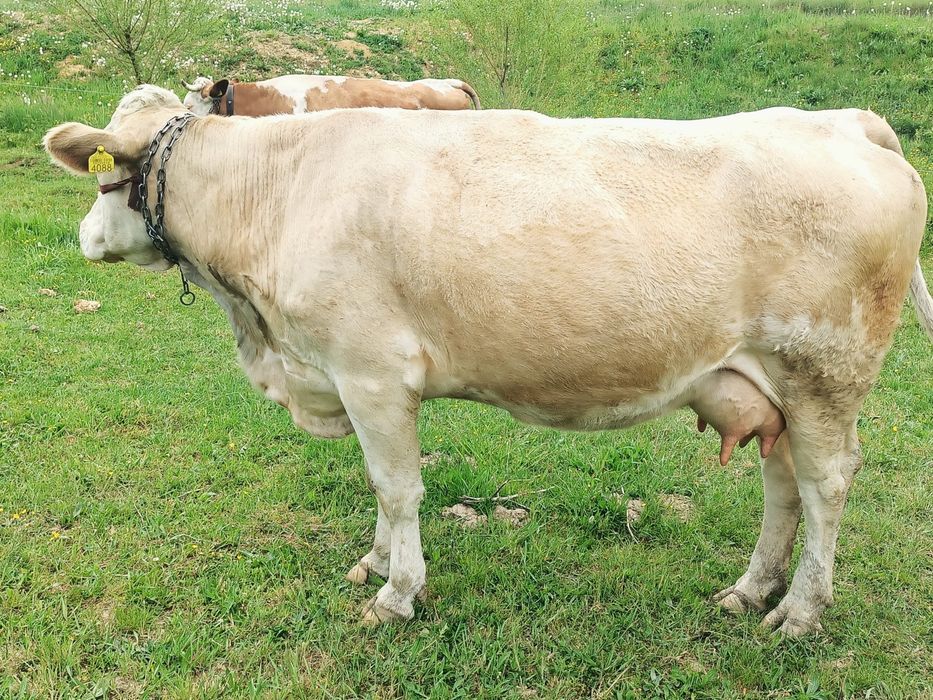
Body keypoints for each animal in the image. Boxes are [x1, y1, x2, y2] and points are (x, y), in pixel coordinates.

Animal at [44, 85, 932, 636]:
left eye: (101, 184)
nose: (83, 239)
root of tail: (844, 120)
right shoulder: (357, 381)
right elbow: (383, 487)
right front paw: (374, 563)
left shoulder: (370, 370)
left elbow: (396, 487)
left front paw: (397, 592)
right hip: (772, 383)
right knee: (782, 484)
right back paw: (751, 590)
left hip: (823, 372)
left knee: (825, 485)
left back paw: (801, 611)